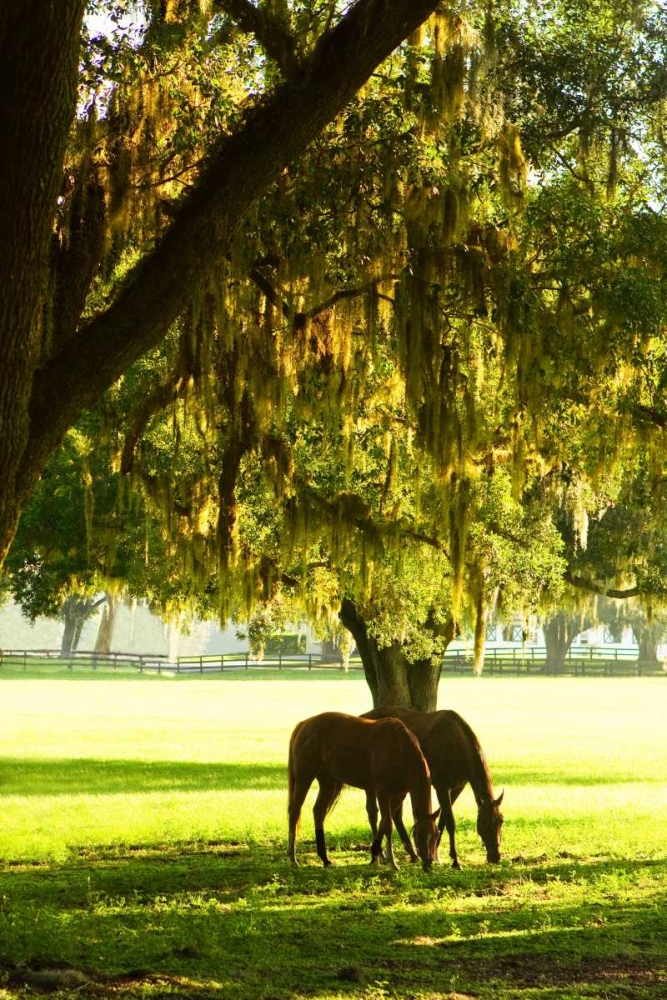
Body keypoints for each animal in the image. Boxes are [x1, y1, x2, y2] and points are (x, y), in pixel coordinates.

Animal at [286, 712, 438, 868]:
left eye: (436, 835)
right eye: (419, 835)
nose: (429, 863)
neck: (399, 747)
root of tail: (304, 724)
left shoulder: (399, 794)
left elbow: (383, 821)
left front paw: (376, 853)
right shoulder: (382, 791)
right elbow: (387, 824)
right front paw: (392, 863)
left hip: (328, 783)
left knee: (318, 812)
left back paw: (324, 858)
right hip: (305, 778)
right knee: (294, 811)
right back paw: (292, 857)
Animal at [362, 704, 504, 868]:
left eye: (501, 820)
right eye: (483, 822)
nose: (495, 856)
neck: (456, 746)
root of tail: (363, 715)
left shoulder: (457, 787)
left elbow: (442, 820)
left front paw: (436, 853)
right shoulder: (441, 786)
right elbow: (450, 821)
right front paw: (455, 860)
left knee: (395, 814)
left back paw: (411, 853)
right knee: (373, 812)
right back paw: (379, 855)